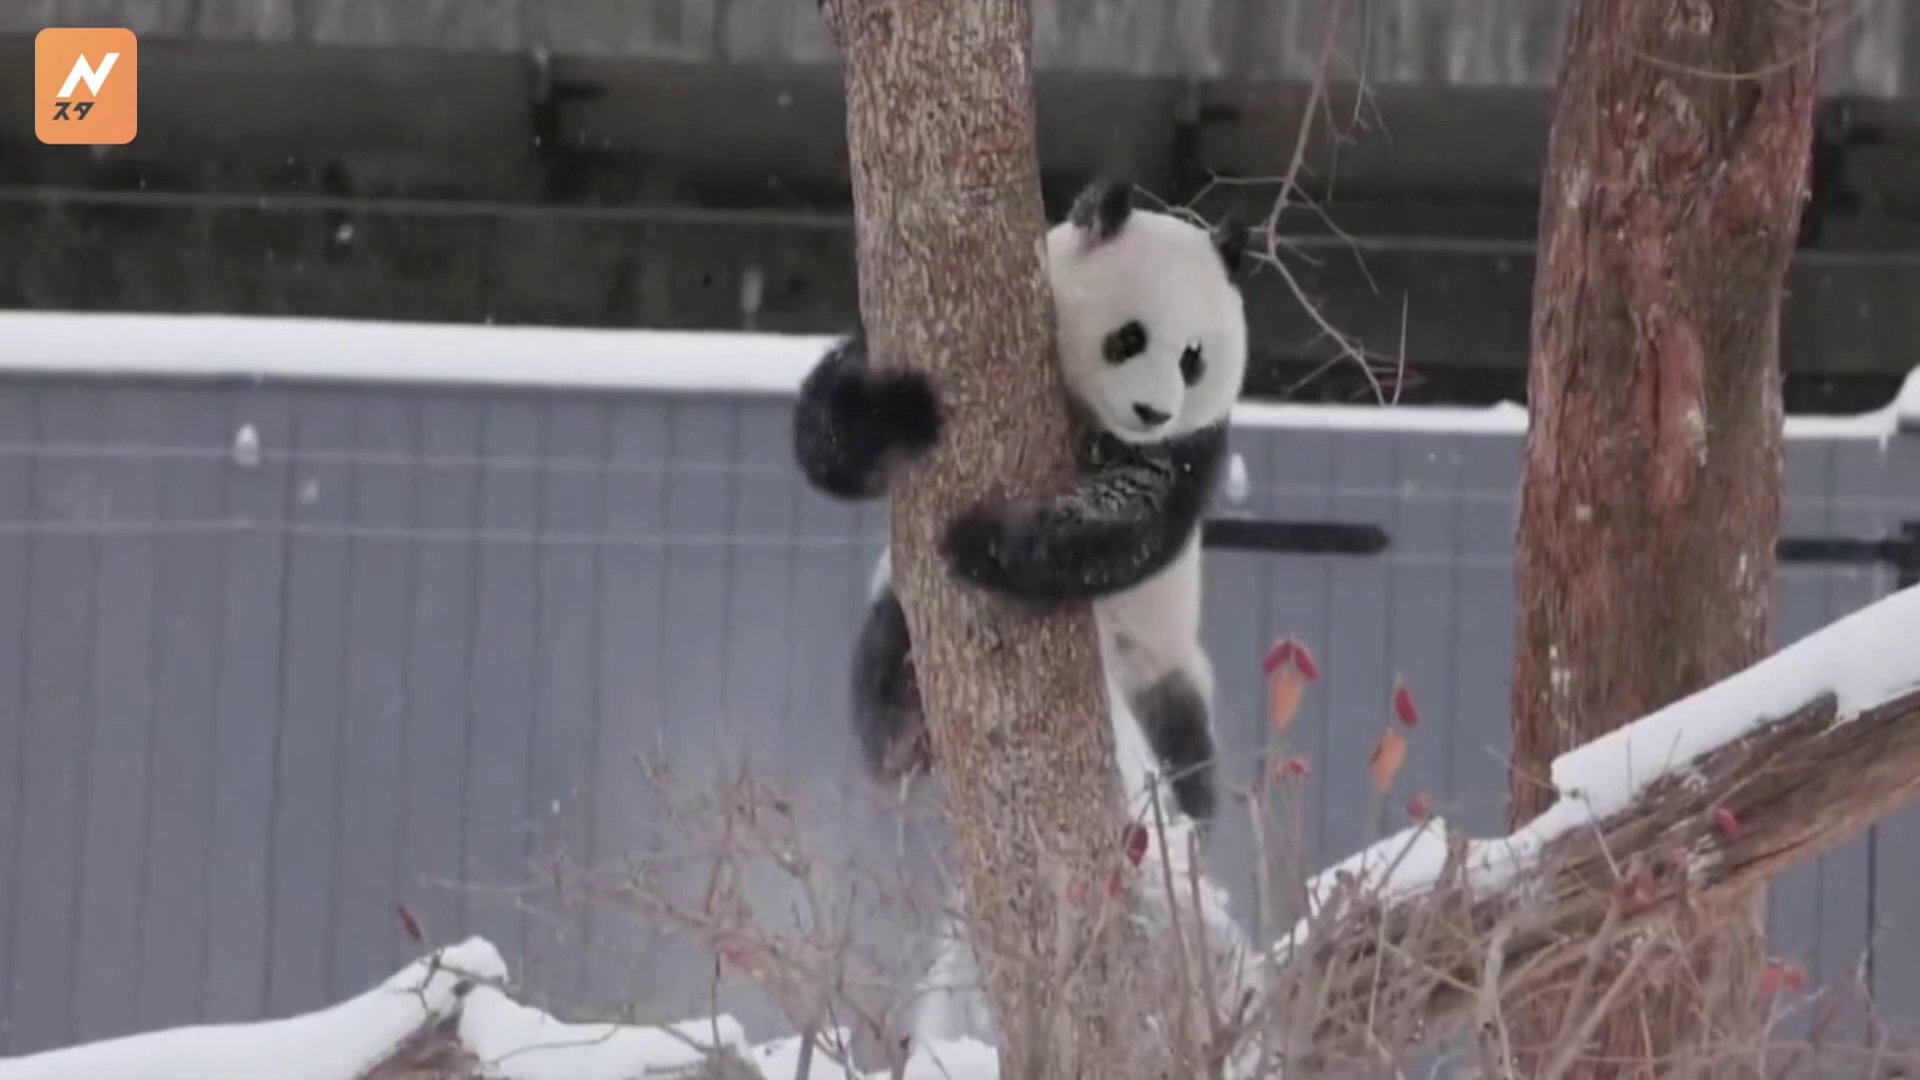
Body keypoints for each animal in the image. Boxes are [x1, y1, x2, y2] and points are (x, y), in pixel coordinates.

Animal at [791, 176, 1251, 818]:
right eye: (1130, 337)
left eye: (1194, 357)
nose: (1153, 412)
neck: (1093, 419)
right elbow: (832, 422)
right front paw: (900, 414)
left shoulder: (1188, 445)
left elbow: (1132, 518)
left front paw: (984, 542)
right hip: (903, 610)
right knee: (889, 656)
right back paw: (900, 741)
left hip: (1163, 662)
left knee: (1187, 747)